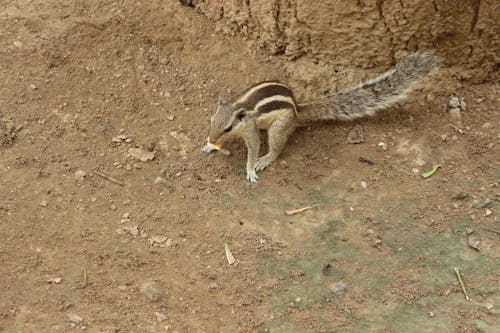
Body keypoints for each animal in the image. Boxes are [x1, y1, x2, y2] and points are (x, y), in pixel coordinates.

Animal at [202, 50, 438, 183]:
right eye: (212, 121)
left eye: (228, 128)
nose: (212, 138)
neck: (238, 106)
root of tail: (297, 110)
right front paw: (209, 146)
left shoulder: (250, 130)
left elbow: (253, 149)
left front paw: (251, 169)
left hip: (279, 127)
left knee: (277, 147)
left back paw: (267, 158)